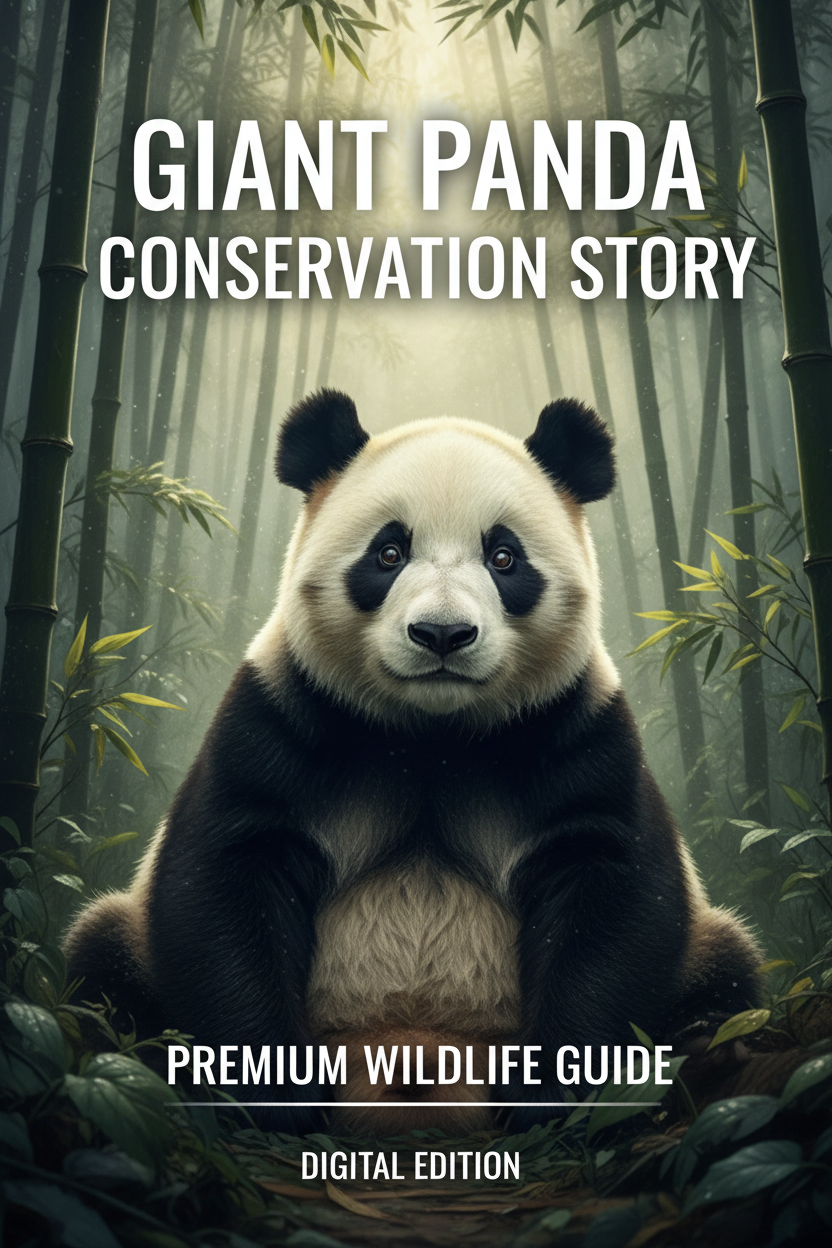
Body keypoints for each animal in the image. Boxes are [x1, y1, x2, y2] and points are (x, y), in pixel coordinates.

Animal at [64, 389, 761, 1134]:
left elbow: (615, 894)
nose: (443, 634)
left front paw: (546, 1097)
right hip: (126, 935)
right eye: (389, 552)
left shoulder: (576, 730)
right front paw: (277, 1095)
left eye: (505, 557)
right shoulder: (281, 717)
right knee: (99, 956)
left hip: (707, 944)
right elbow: (222, 881)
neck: (434, 735)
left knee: (730, 966)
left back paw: (706, 1046)